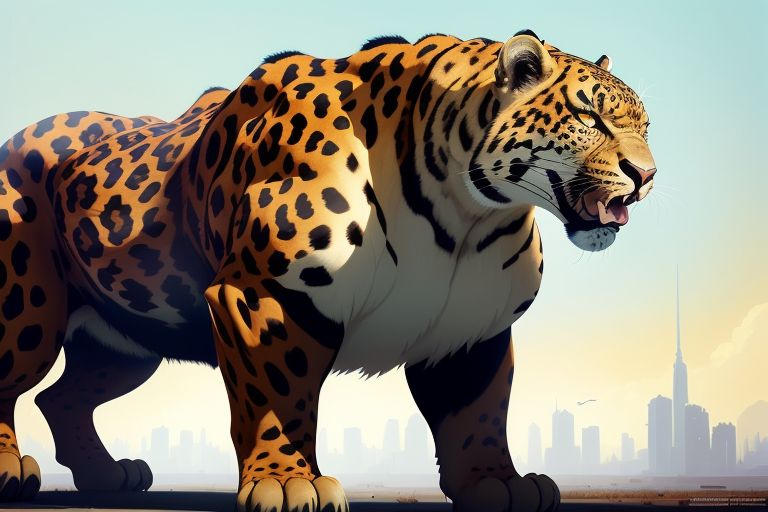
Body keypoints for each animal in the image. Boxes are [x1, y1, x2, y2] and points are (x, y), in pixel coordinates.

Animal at [0, 29, 655, 511]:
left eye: (644, 125)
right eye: (591, 118)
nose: (646, 175)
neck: (464, 212)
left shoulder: (471, 326)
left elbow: (479, 409)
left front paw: (495, 482)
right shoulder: (266, 295)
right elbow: (277, 395)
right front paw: (288, 482)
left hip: (128, 343)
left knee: (62, 397)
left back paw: (105, 474)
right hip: (28, 316)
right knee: (14, 382)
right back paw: (12, 470)